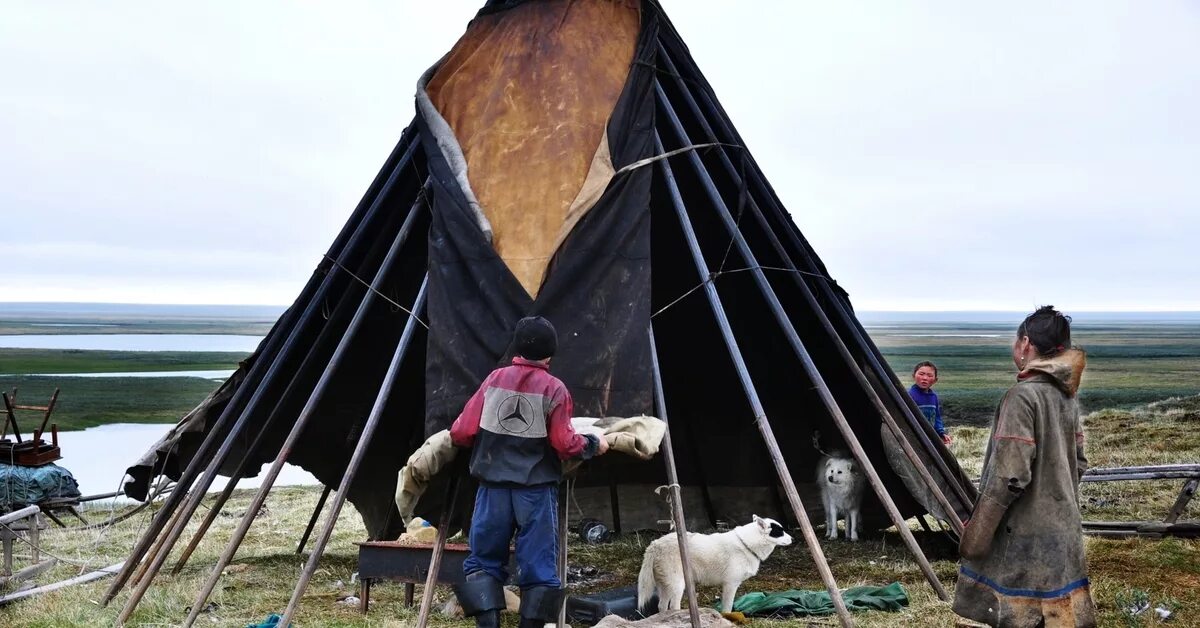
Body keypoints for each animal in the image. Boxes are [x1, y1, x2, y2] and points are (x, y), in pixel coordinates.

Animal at [633, 516, 792, 614]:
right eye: (780, 531)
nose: (793, 539)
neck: (747, 543)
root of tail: (654, 545)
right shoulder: (730, 585)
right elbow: (727, 607)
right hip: (678, 585)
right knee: (673, 607)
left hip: (665, 586)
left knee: (662, 606)